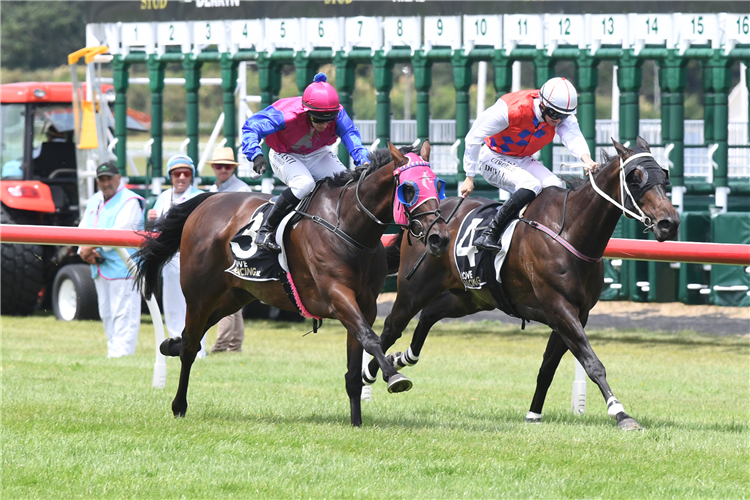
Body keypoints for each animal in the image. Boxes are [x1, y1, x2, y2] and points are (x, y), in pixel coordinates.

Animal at [134, 141, 452, 426]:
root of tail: (208, 200)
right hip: (201, 292)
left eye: (438, 185)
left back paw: (170, 344)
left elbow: (356, 363)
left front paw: (357, 421)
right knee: (190, 344)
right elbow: (370, 338)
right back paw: (179, 404)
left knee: (193, 335)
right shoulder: (337, 296)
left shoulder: (365, 304)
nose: (440, 238)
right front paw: (394, 375)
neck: (349, 226)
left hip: (236, 295)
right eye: (408, 189)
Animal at [364, 137, 680, 430]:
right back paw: (372, 374)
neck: (571, 232)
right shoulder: (560, 308)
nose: (670, 223)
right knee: (391, 327)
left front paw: (534, 413)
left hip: (470, 298)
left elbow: (548, 367)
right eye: (635, 178)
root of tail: (422, 218)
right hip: (415, 289)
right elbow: (593, 363)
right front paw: (620, 413)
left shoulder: (576, 314)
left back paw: (402, 358)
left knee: (429, 315)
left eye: (664, 176)